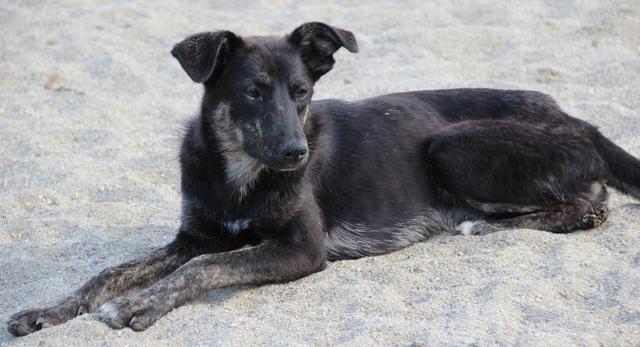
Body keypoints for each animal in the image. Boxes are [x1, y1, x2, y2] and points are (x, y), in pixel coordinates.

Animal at [6, 21, 640, 338]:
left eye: (302, 92)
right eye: (253, 92)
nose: (296, 152)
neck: (239, 170)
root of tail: (571, 114)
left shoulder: (301, 248)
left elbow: (205, 268)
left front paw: (137, 306)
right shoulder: (194, 235)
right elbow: (112, 271)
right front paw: (49, 311)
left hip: (451, 145)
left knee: (593, 198)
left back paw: (487, 227)